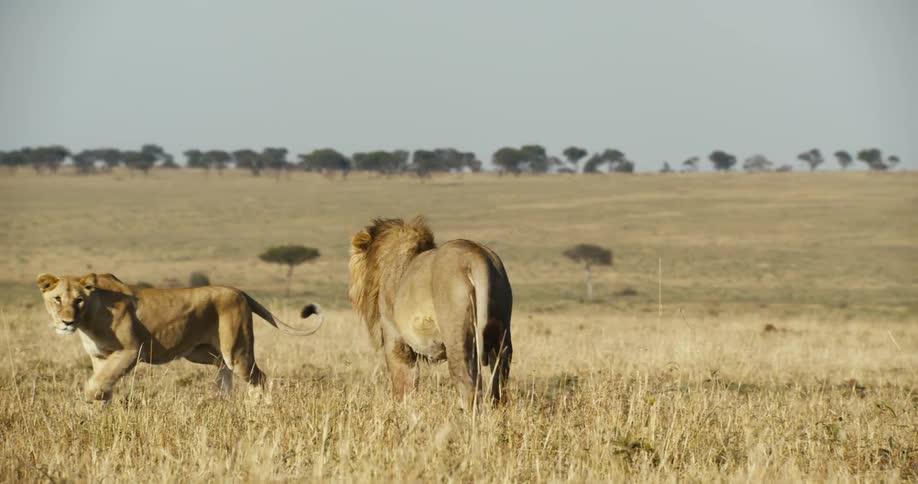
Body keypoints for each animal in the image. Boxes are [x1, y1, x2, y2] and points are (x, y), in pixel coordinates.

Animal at [36, 272, 322, 402]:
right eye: (57, 299)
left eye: (79, 300)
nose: (66, 322)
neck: (89, 318)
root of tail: (239, 291)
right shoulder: (99, 356)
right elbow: (103, 384)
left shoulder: (131, 351)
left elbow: (98, 384)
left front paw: (88, 401)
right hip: (203, 352)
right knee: (224, 372)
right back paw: (224, 404)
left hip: (237, 349)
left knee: (258, 377)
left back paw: (255, 407)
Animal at [344, 217, 512, 410]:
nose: (350, 294)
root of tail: (475, 257)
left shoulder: (395, 340)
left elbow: (403, 386)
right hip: (501, 336)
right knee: (499, 388)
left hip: (456, 336)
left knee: (468, 387)